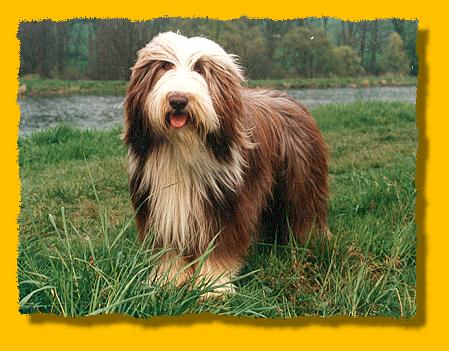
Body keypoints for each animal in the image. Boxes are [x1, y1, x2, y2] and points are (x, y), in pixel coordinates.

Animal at [121, 31, 326, 296]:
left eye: (199, 68)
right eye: (165, 66)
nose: (178, 100)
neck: (184, 148)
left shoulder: (225, 203)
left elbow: (219, 250)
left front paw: (212, 288)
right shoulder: (164, 205)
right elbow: (169, 250)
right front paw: (168, 280)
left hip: (300, 181)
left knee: (304, 212)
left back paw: (309, 242)